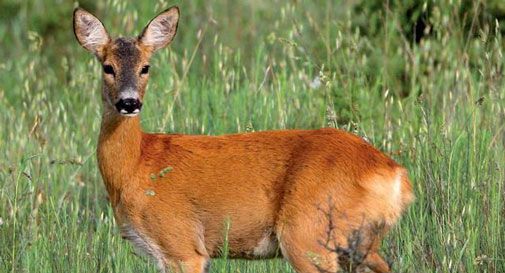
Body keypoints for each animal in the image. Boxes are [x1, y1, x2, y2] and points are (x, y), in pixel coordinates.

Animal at [74, 6, 414, 272]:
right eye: (108, 67)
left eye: (145, 67)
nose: (129, 102)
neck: (136, 166)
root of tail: (395, 175)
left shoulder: (181, 245)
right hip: (359, 244)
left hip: (307, 234)